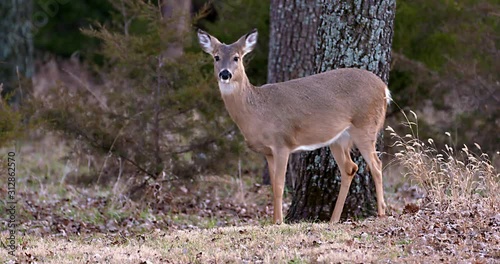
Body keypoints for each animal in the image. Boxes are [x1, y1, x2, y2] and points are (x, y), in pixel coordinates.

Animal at [198, 28, 390, 223]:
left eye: (236, 57)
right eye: (216, 57)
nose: (225, 74)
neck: (257, 113)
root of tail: (384, 88)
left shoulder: (282, 143)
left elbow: (280, 185)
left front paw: (278, 222)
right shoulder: (268, 151)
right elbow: (273, 186)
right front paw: (275, 220)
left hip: (365, 125)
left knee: (376, 165)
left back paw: (381, 212)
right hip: (339, 138)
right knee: (350, 168)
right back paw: (334, 219)